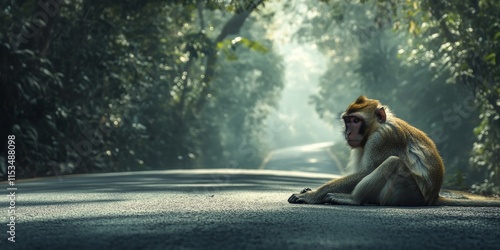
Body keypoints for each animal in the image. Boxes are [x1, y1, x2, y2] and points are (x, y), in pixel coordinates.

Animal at [288, 95, 500, 207]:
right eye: (347, 120)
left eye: (356, 120)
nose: (348, 132)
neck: (377, 126)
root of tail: (432, 198)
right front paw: (310, 190)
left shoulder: (382, 139)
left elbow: (365, 172)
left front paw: (314, 195)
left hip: (407, 194)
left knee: (393, 163)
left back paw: (354, 199)